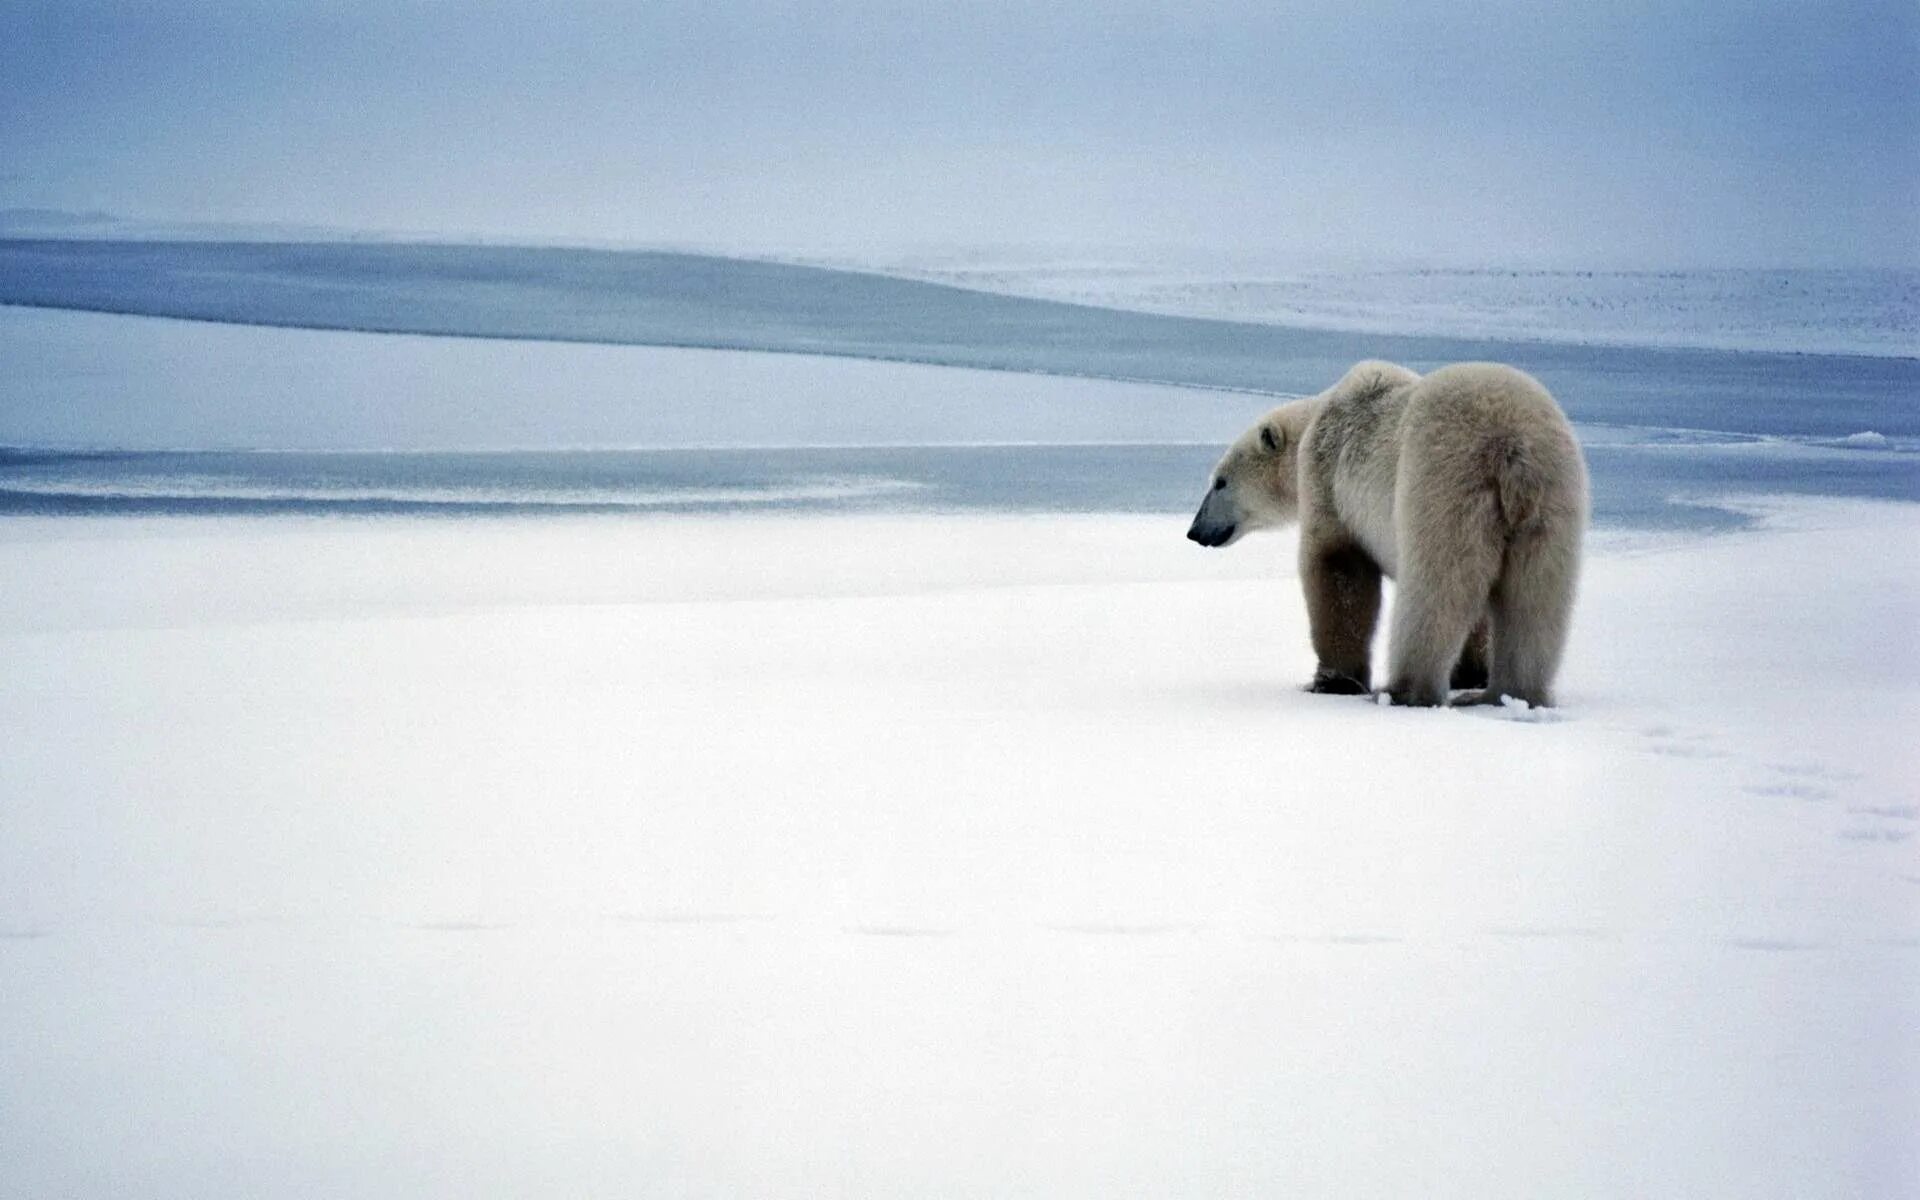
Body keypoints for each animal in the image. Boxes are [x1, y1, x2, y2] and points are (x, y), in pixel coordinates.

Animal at [1190, 360, 1582, 706]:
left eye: (1220, 482)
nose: (1195, 531)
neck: (1317, 419)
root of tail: (1511, 449)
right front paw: (1470, 674)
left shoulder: (1329, 477)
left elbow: (1338, 569)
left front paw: (1333, 681)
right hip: (1551, 501)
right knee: (1536, 599)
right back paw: (1506, 694)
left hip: (1442, 481)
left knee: (1436, 587)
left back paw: (1403, 691)